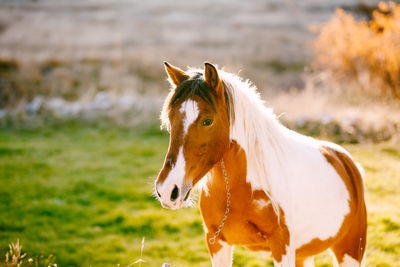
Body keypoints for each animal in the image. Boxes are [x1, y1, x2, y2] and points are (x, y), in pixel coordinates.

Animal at [155, 61, 368, 266]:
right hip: (304, 254)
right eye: (171, 118)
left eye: (207, 121)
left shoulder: (282, 247)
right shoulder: (216, 243)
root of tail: (345, 160)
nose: (167, 191)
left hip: (349, 251)